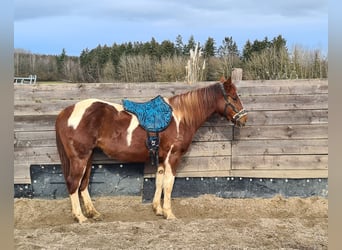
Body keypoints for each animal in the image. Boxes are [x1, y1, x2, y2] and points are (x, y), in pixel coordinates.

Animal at [54, 78, 247, 223]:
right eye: (234, 97)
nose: (244, 119)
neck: (180, 117)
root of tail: (67, 111)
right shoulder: (172, 157)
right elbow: (169, 184)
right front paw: (169, 213)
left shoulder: (162, 158)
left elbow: (159, 182)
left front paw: (158, 210)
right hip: (80, 157)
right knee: (73, 182)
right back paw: (80, 217)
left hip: (89, 156)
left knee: (83, 183)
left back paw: (93, 213)